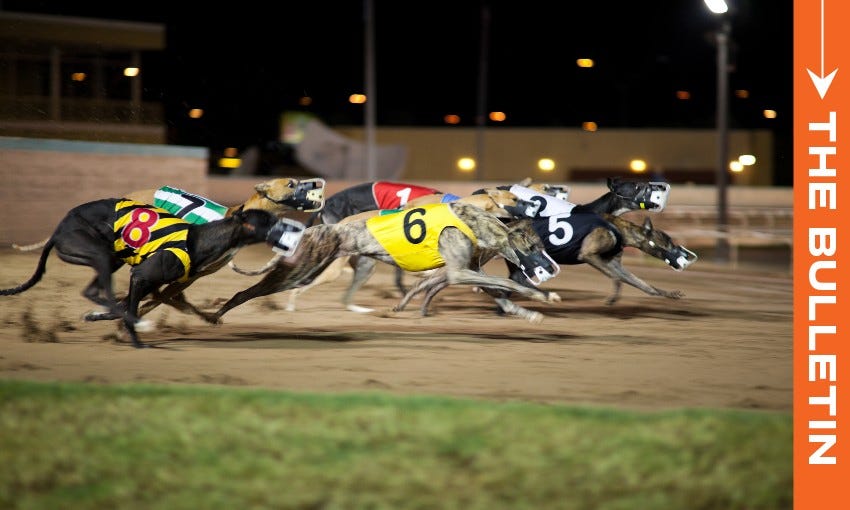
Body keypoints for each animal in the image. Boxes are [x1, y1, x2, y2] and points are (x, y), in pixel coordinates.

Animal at [0, 198, 300, 346]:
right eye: (269, 221)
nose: (295, 229)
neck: (200, 239)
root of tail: (57, 230)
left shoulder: (151, 285)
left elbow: (125, 306)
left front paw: (101, 318)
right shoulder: (142, 277)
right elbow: (129, 308)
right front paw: (137, 338)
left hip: (111, 257)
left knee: (94, 290)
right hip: (98, 252)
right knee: (99, 290)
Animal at [210, 202, 564, 324]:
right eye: (533, 246)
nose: (553, 269)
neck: (475, 221)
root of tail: (314, 229)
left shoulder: (469, 270)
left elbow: (500, 292)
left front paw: (530, 312)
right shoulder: (458, 272)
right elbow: (503, 282)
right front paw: (542, 296)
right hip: (300, 271)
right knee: (246, 292)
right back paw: (215, 314)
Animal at [394, 210, 692, 314]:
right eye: (667, 240)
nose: (685, 255)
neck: (615, 225)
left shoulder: (611, 260)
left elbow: (640, 283)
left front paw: (670, 294)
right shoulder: (590, 255)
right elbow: (618, 277)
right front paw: (611, 299)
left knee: (443, 278)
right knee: (441, 279)